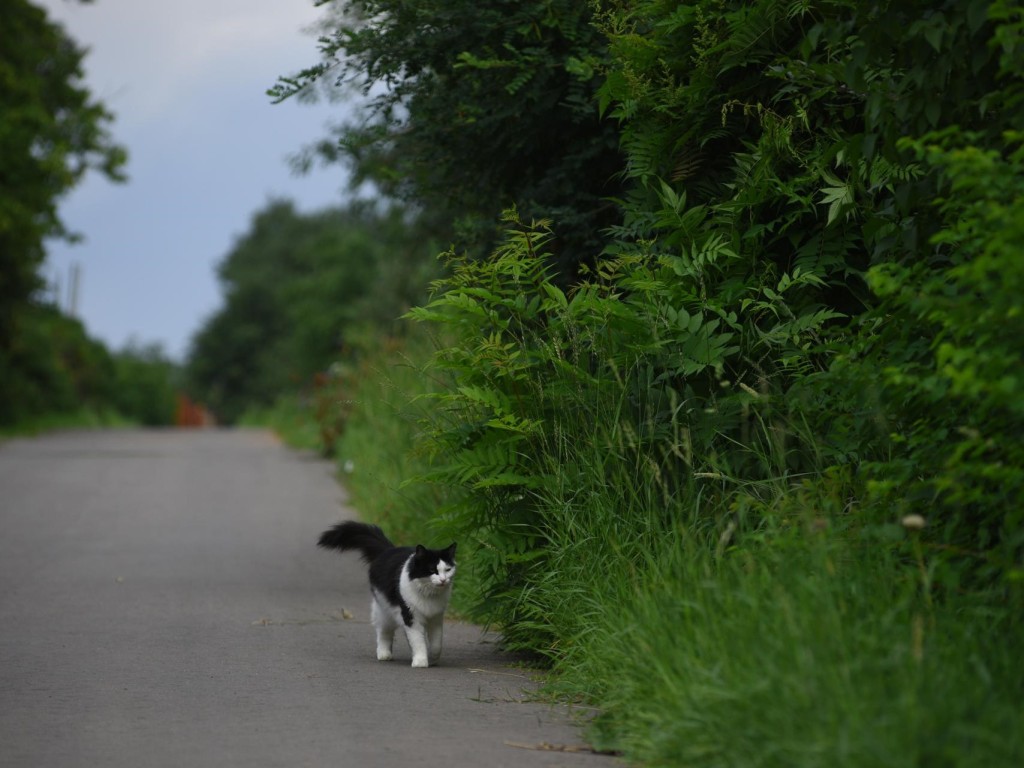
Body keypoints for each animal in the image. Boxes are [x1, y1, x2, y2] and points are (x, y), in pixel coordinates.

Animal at [313, 524, 454, 667]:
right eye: (432, 570)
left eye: (448, 570)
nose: (443, 580)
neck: (429, 594)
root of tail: (387, 550)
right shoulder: (410, 616)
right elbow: (418, 641)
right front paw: (420, 661)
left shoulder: (436, 617)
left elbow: (437, 643)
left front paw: (433, 659)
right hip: (385, 611)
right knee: (383, 632)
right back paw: (384, 654)